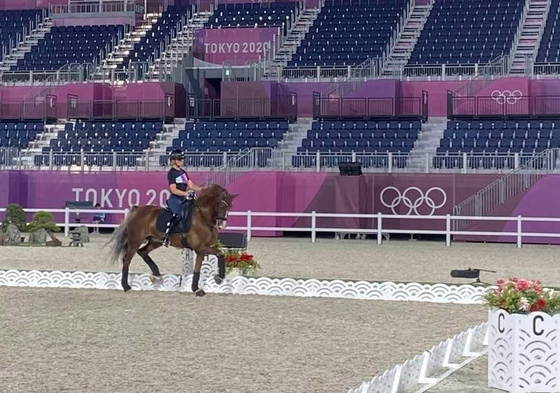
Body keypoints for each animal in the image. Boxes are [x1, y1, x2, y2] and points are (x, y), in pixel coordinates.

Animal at [106, 185, 236, 296]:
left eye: (229, 207)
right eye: (221, 205)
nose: (222, 225)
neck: (203, 218)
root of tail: (138, 210)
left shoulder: (201, 250)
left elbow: (198, 270)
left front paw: (196, 289)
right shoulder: (200, 247)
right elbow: (220, 253)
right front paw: (219, 278)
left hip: (155, 241)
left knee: (142, 252)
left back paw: (156, 275)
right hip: (135, 241)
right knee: (127, 260)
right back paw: (126, 287)